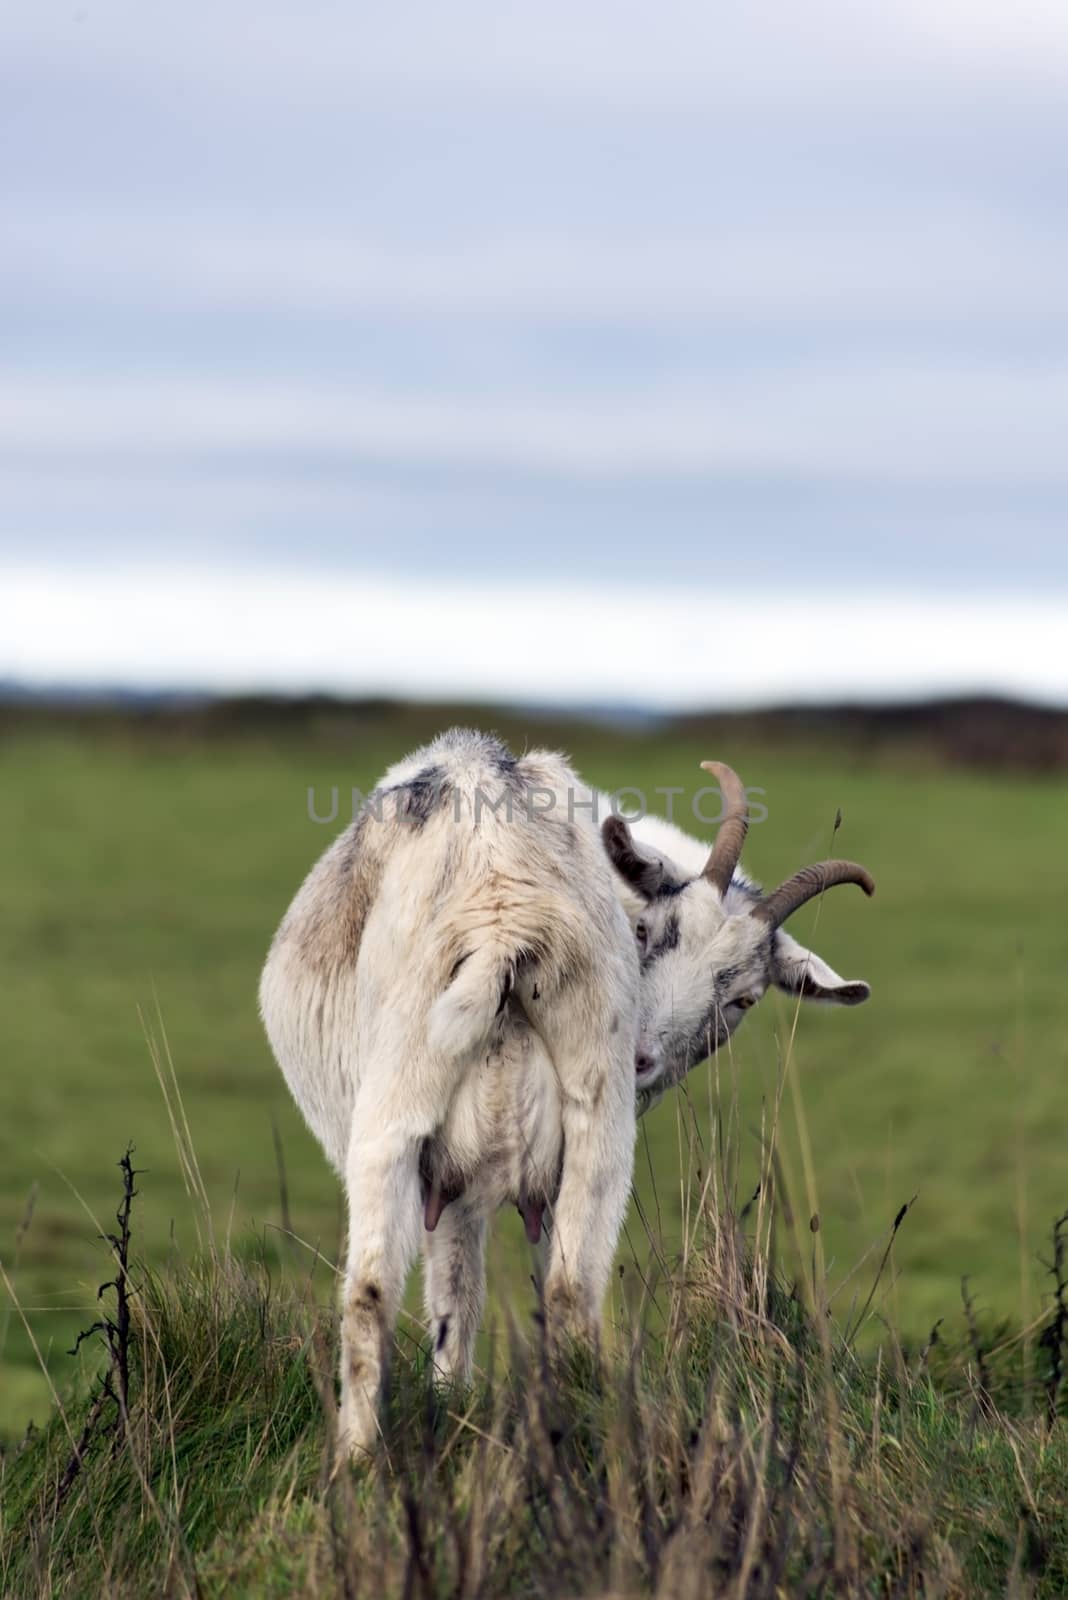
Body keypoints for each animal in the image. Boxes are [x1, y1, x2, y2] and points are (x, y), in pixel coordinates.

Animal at [260, 732, 876, 1459]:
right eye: (646, 932)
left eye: (744, 999)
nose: (640, 1058)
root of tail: (505, 918)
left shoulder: (448, 1183)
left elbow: (454, 1291)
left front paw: (449, 1400)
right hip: (598, 1121)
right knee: (571, 1289)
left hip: (397, 1100)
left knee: (370, 1291)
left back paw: (356, 1464)